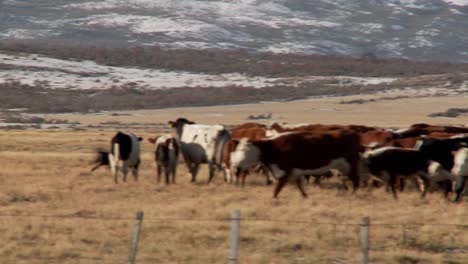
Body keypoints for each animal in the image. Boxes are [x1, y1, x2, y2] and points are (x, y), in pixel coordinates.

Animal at [230, 130, 362, 198]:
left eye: (245, 150)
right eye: (237, 149)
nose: (236, 165)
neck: (272, 147)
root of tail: (351, 132)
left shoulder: (285, 172)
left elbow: (277, 189)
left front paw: (274, 199)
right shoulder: (294, 172)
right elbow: (299, 185)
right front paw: (305, 196)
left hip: (350, 163)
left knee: (356, 179)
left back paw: (353, 194)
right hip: (342, 166)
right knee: (347, 179)